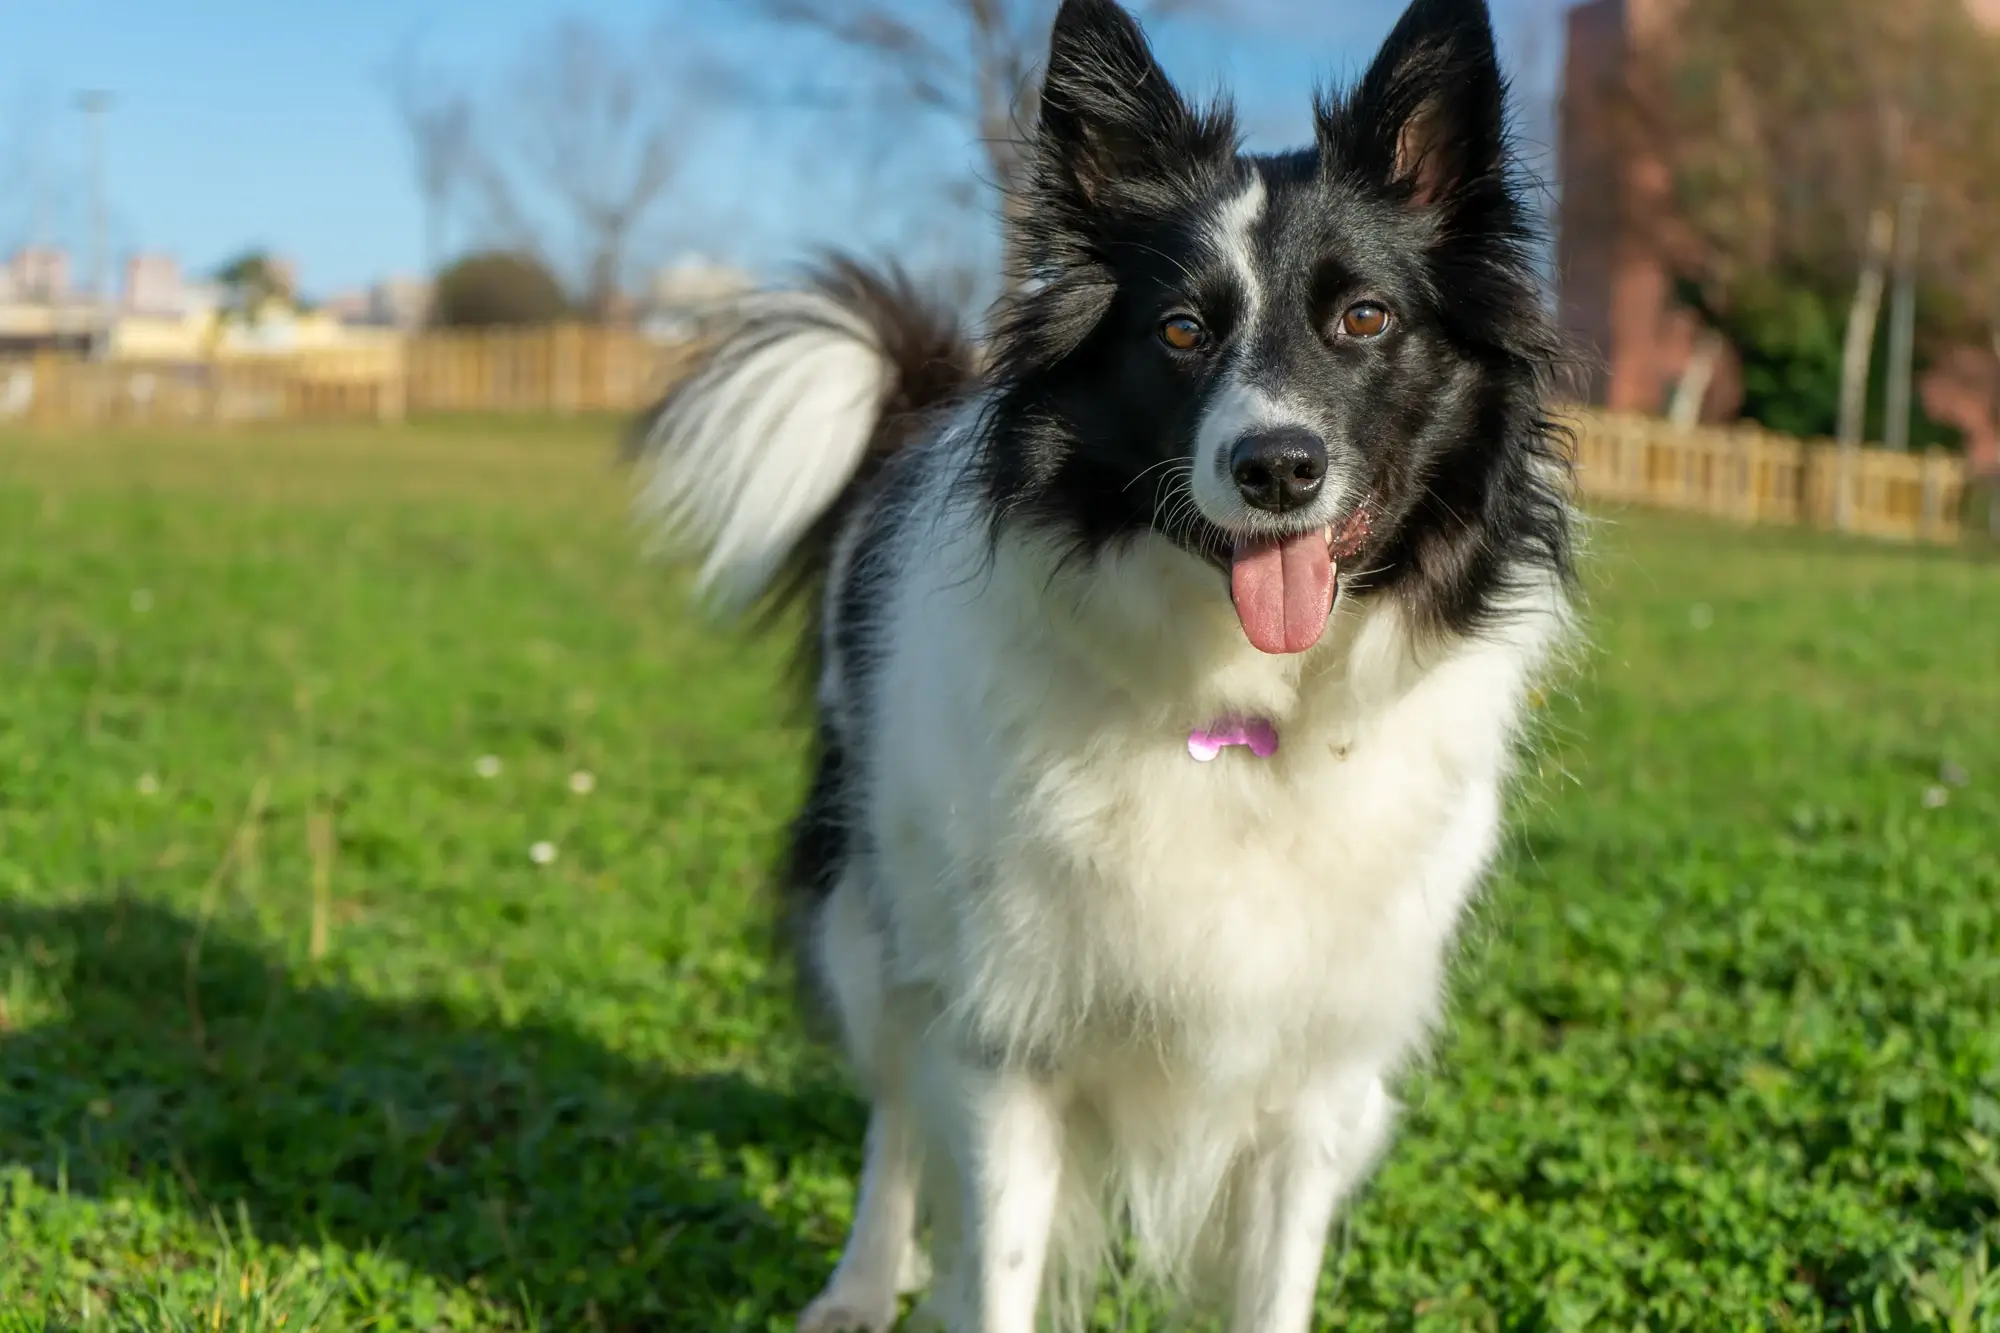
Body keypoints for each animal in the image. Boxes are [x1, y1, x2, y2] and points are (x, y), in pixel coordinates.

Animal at [632, 0, 1568, 1320]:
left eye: (1364, 319)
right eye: (1179, 331)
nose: (1276, 467)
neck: (1240, 714)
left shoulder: (1317, 1070)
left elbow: (1273, 1283)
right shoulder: (1006, 1034)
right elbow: (996, 1258)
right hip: (872, 909)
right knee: (894, 1112)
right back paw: (862, 1282)